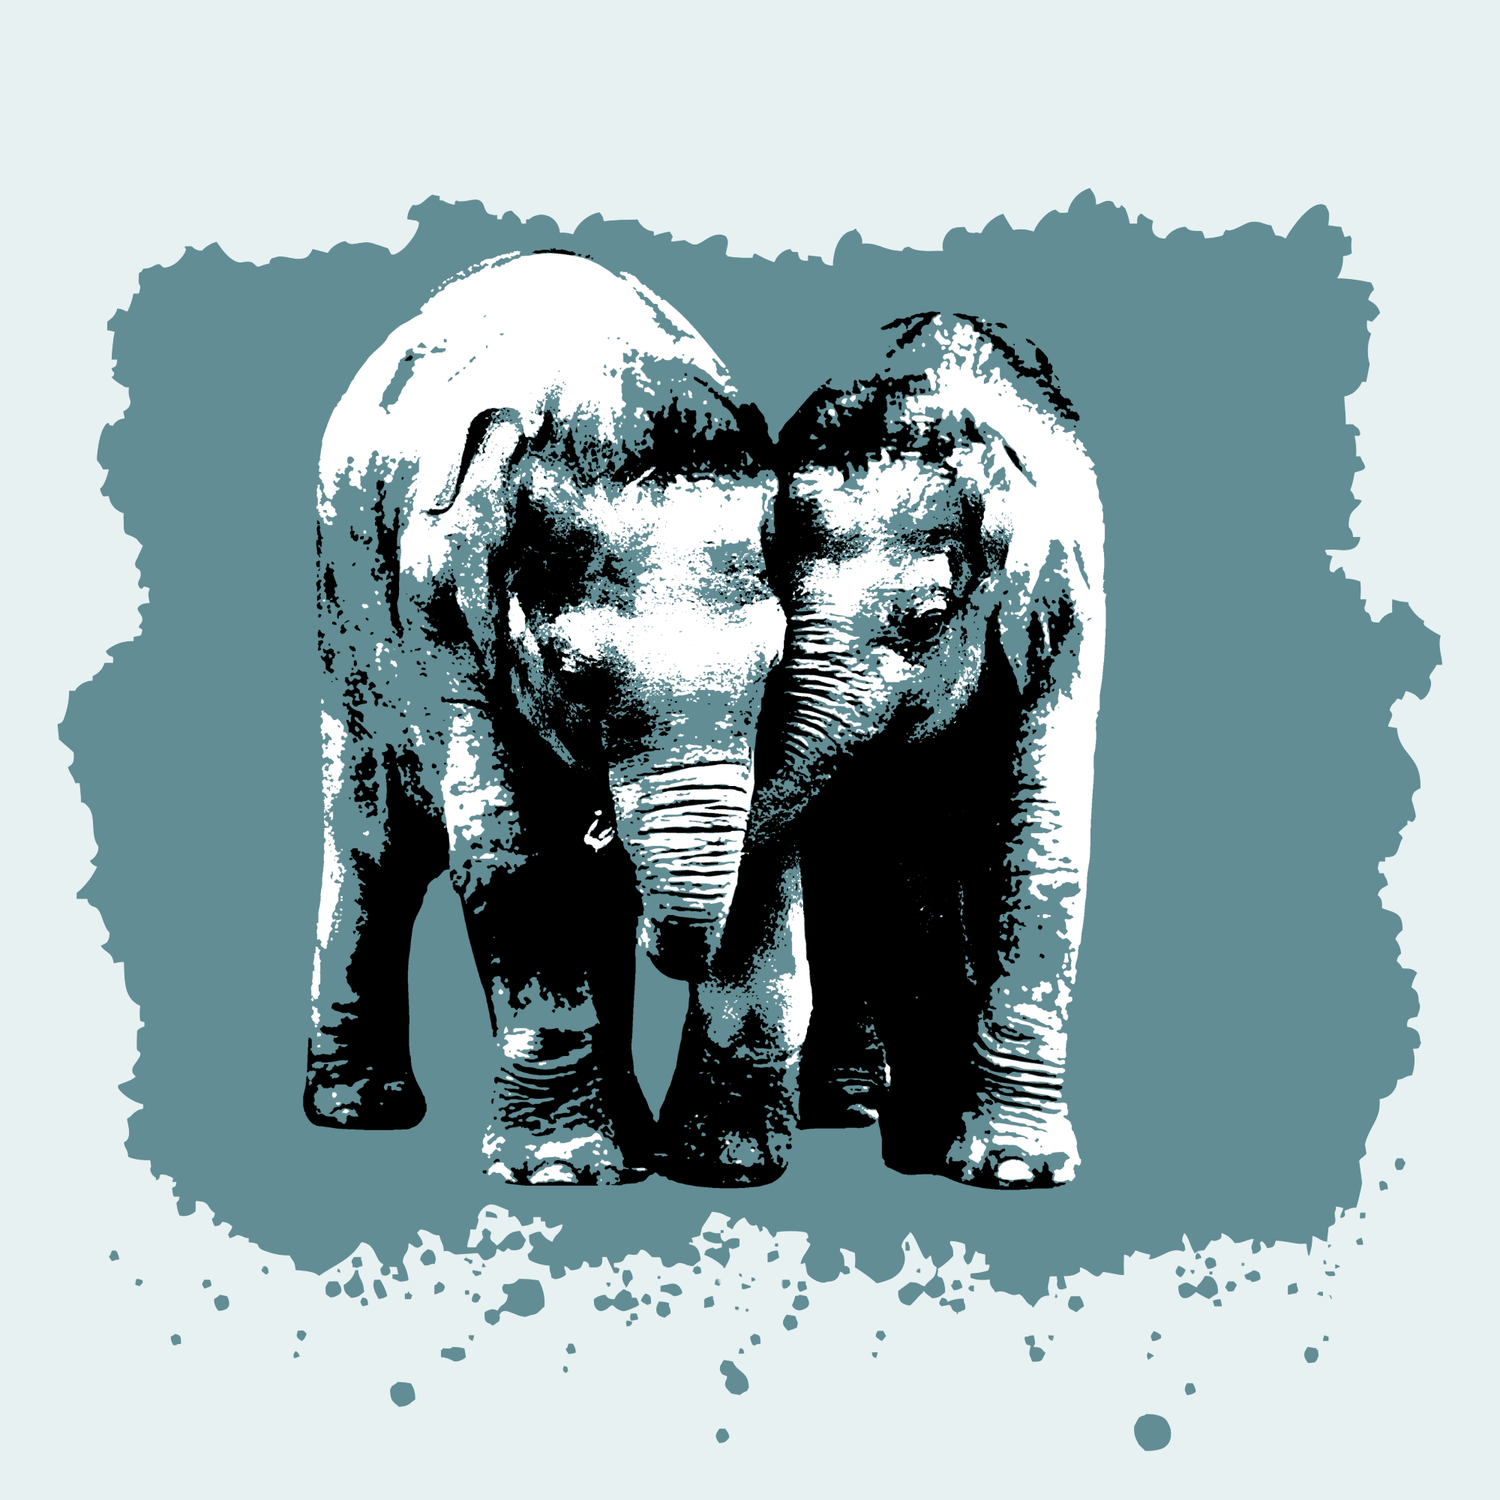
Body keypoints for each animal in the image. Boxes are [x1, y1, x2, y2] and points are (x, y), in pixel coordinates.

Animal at [305, 250, 786, 1184]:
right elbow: (511, 851)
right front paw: (565, 1173)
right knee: (380, 846)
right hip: (342, 627)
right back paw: (360, 1112)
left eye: (773, 665)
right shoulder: (439, 615)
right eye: (573, 675)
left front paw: (723, 1167)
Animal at [655, 312, 1104, 1190]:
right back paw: (841, 1111)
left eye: (927, 619)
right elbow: (898, 864)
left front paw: (1009, 1169)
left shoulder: (1066, 621)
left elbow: (1038, 838)